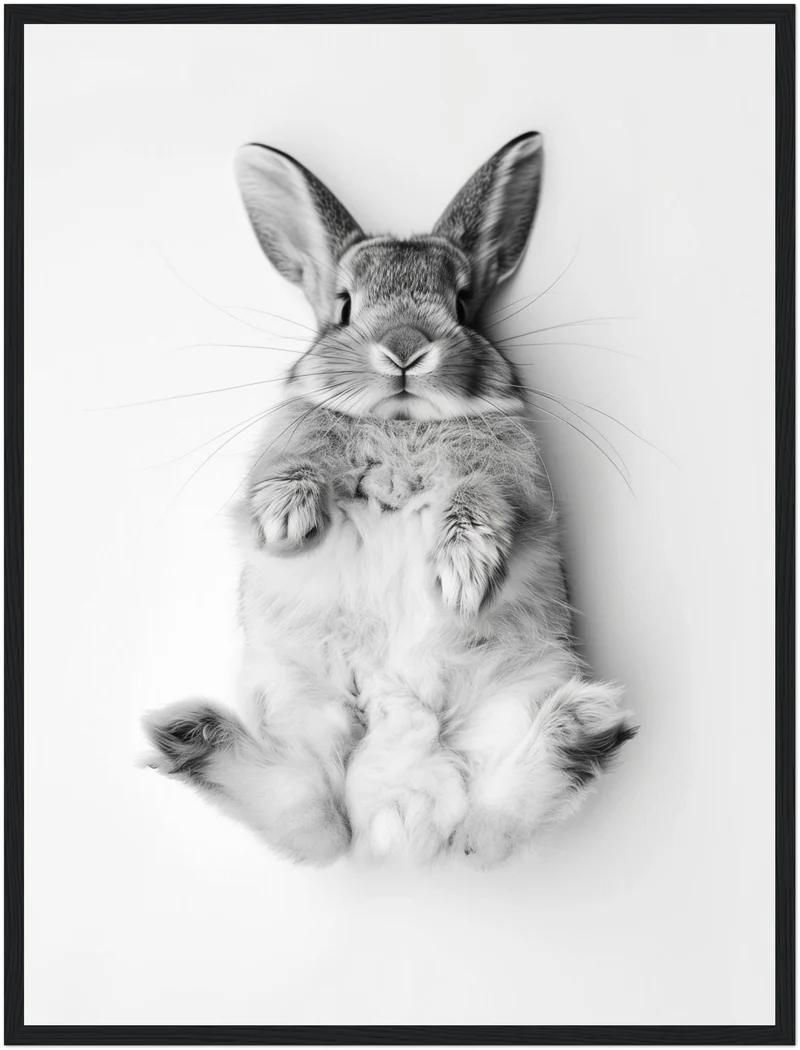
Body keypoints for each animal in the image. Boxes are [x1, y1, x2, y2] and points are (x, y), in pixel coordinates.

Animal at [143, 132, 637, 869]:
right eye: (344, 305)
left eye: (463, 303)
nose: (405, 348)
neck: (403, 423)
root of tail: (398, 808)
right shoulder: (285, 443)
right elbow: (291, 468)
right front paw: (285, 521)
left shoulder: (513, 479)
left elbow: (482, 500)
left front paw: (462, 574)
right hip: (296, 698)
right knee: (310, 817)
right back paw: (185, 732)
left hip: (514, 694)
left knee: (487, 823)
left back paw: (583, 725)